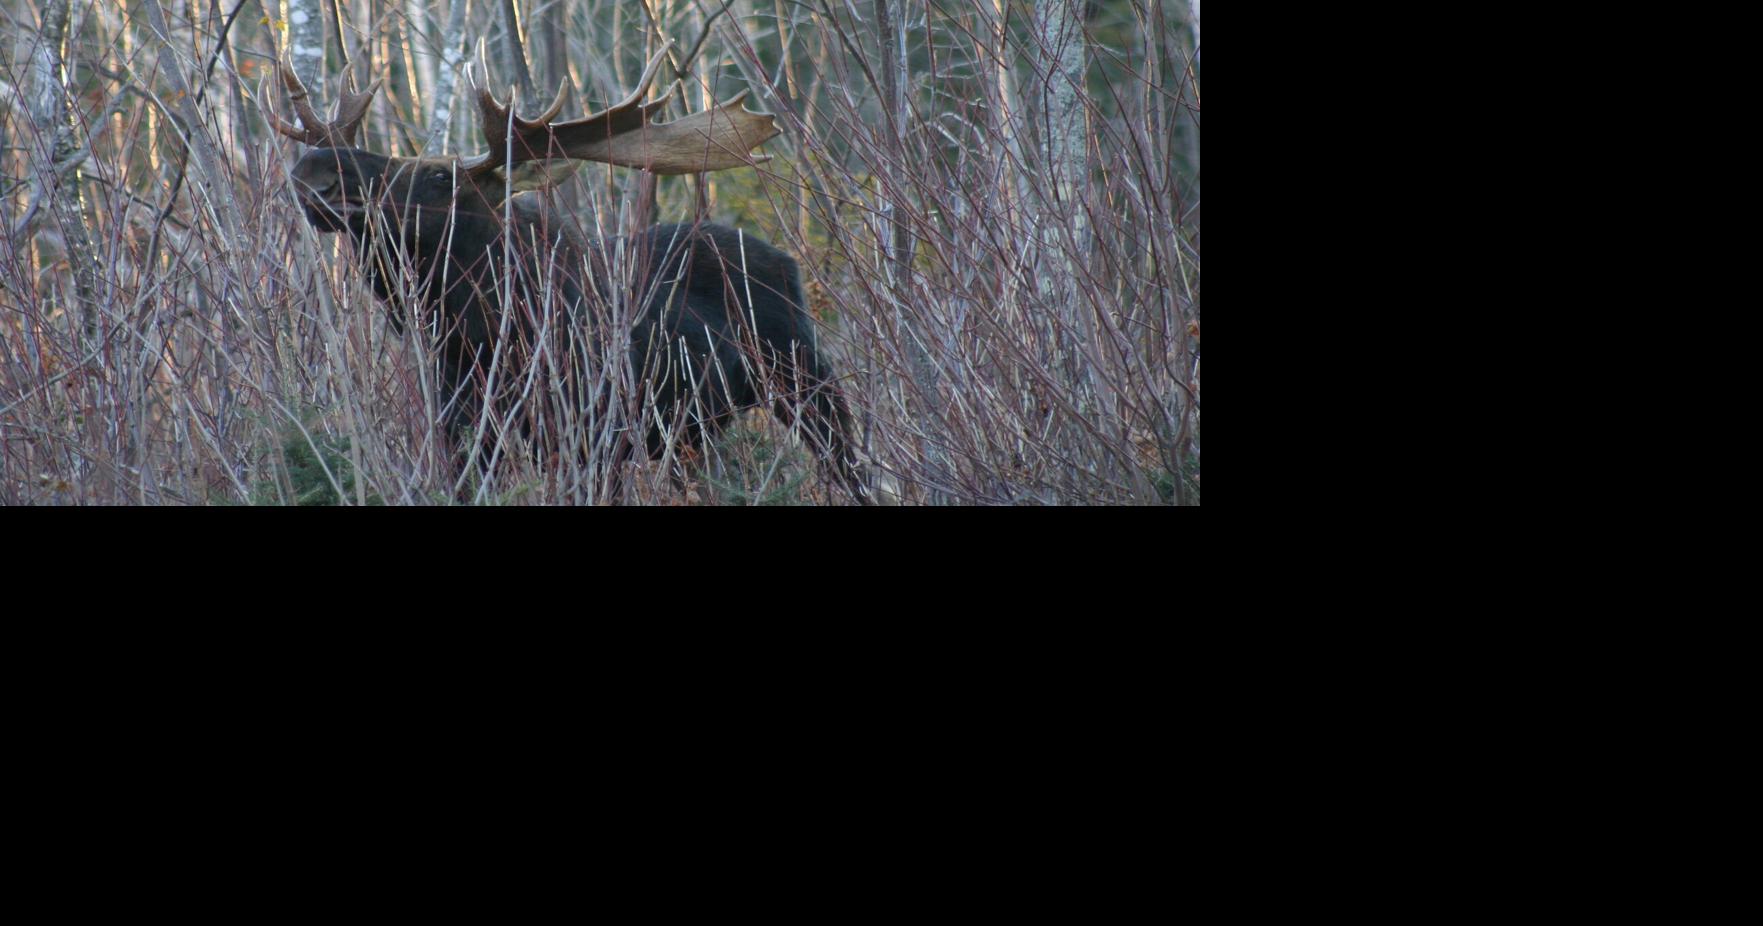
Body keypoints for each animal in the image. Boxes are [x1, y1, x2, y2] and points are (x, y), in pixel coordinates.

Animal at [268, 42, 872, 504]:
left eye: (440, 178)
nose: (315, 172)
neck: (480, 336)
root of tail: (786, 261)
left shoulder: (597, 434)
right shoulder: (465, 433)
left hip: (805, 378)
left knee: (850, 466)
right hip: (694, 429)